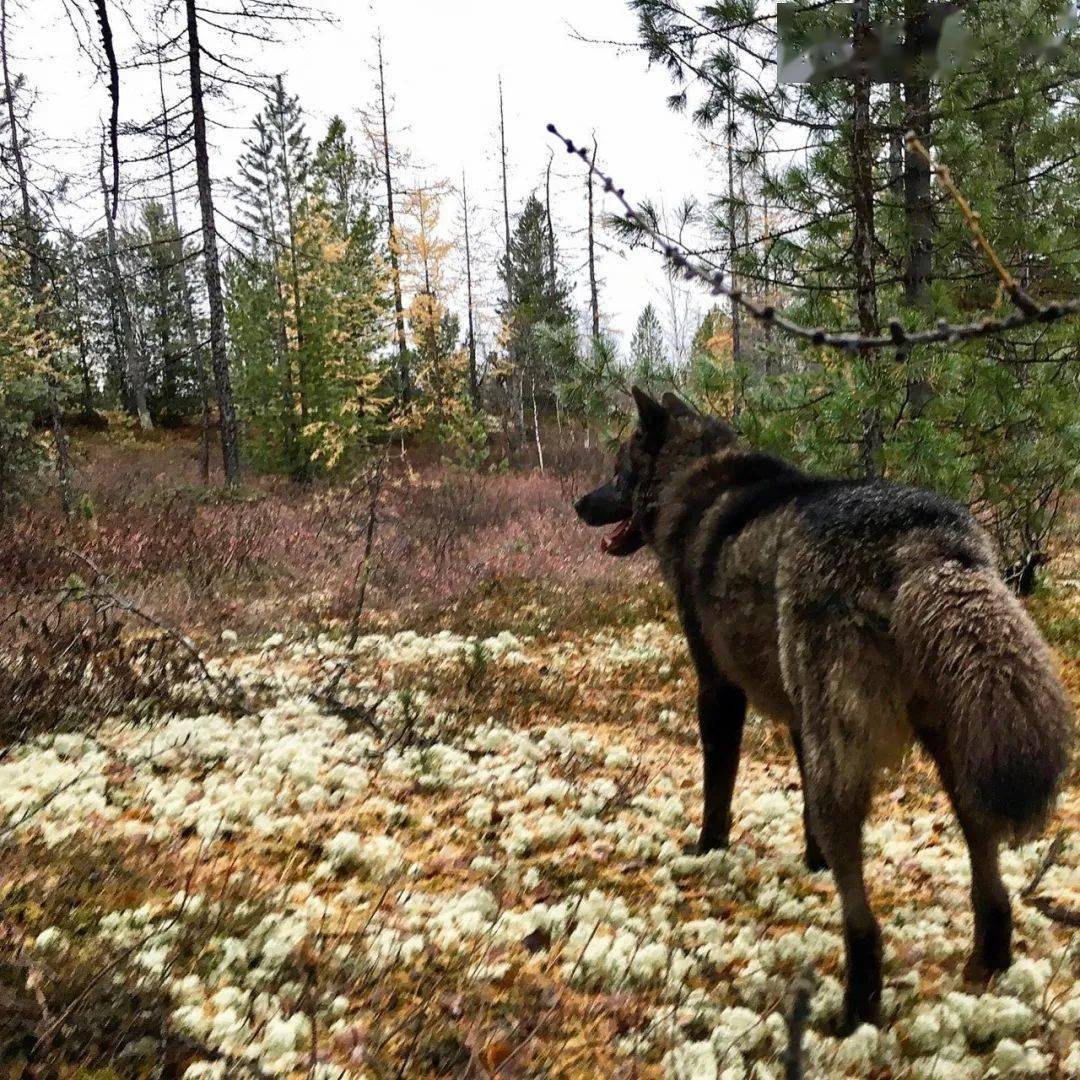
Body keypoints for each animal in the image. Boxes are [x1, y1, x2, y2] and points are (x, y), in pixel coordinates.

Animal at [574, 384, 1071, 1032]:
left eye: (617, 472)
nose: (579, 505)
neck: (697, 480)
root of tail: (922, 538)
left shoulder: (719, 691)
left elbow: (718, 788)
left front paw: (708, 850)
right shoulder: (798, 719)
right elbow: (804, 804)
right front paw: (811, 863)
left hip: (851, 761)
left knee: (863, 918)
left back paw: (855, 1009)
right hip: (956, 756)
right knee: (987, 870)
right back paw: (988, 962)